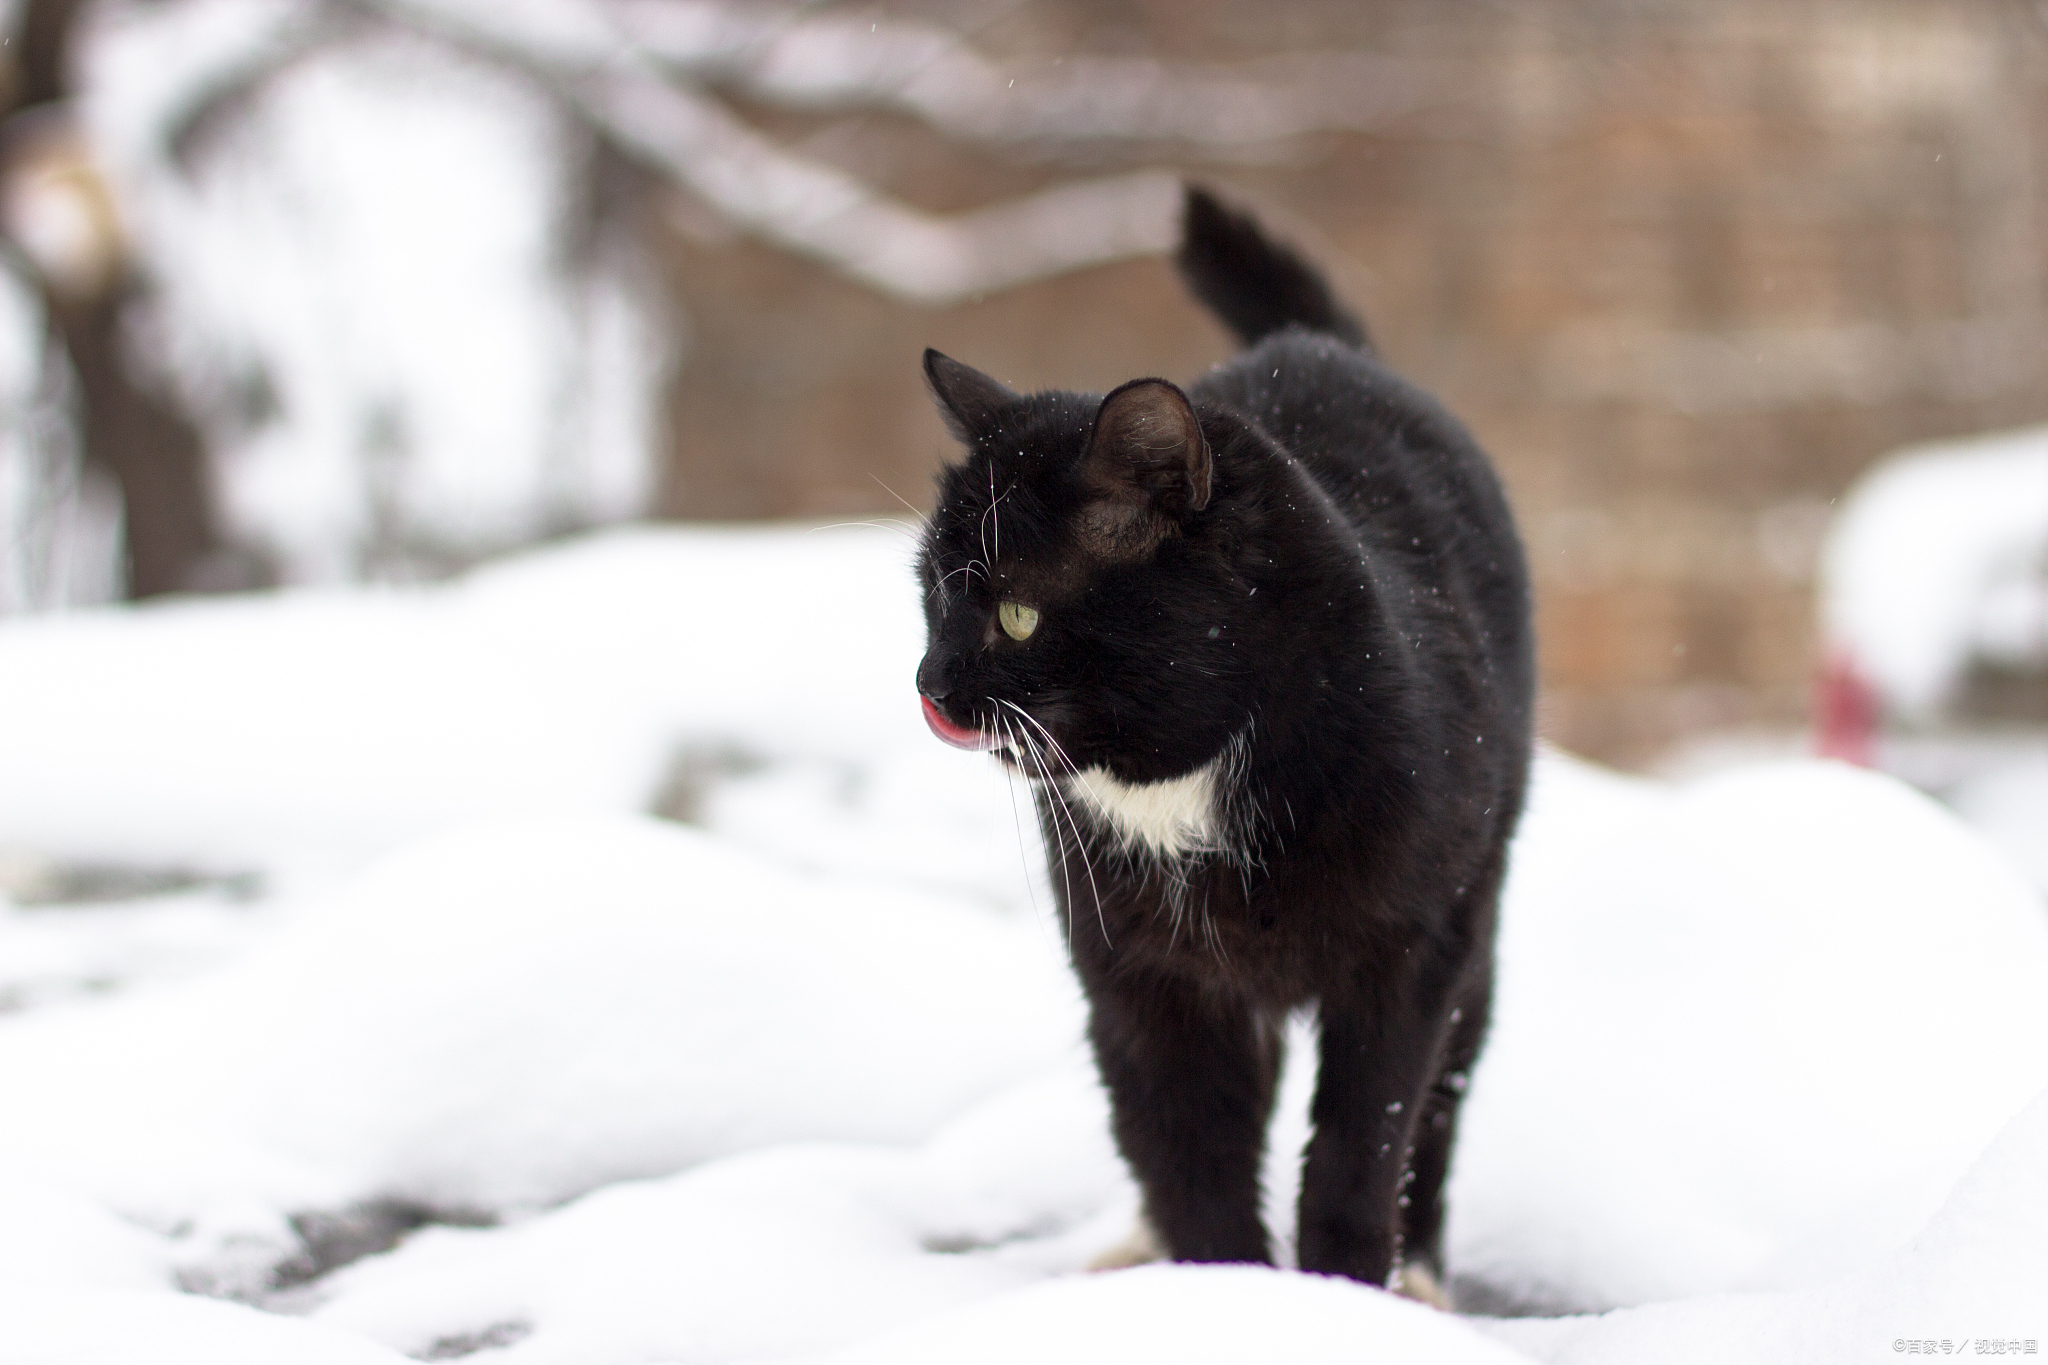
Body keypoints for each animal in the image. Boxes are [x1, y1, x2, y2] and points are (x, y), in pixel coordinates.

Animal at [917, 184, 1540, 1301]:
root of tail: (1314, 343)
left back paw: (1419, 1273)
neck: (1180, 785)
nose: (928, 683)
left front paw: (1344, 1291)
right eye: (928, 598)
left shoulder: (1409, 953)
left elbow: (1362, 1139)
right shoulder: (1135, 973)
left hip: (1480, 903)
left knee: (1442, 1096)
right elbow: (1185, 1142)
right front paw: (1227, 1293)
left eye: (1017, 616)